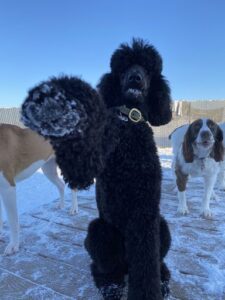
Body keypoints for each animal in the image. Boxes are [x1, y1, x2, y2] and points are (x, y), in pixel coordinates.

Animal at [0, 123, 78, 254]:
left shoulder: (8, 188)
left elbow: (13, 221)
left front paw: (14, 245)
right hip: (48, 169)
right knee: (61, 185)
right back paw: (61, 205)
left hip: (66, 167)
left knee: (73, 187)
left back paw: (74, 208)